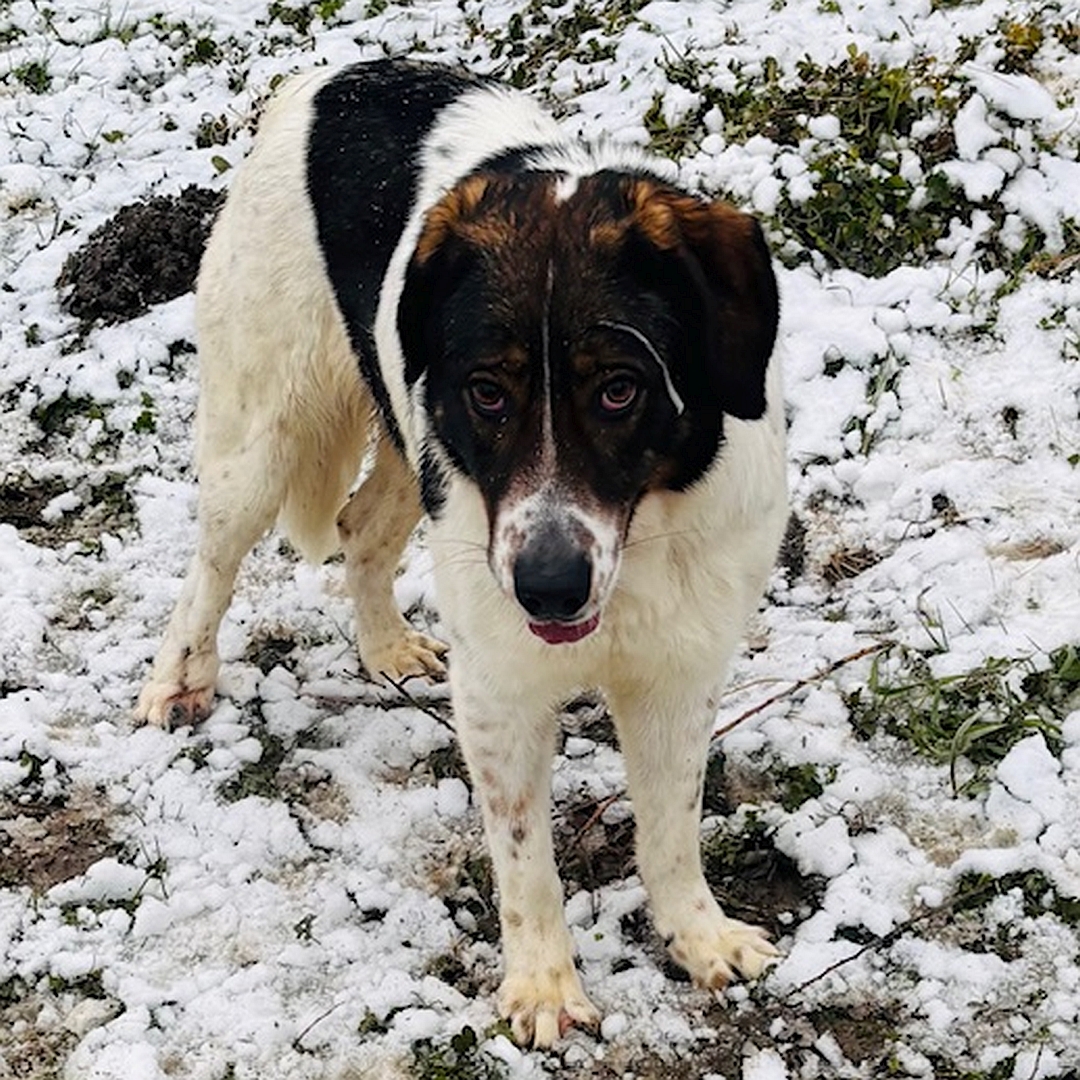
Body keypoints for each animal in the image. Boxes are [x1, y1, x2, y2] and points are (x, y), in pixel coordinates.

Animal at [139, 59, 790, 1045]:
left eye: (620, 389)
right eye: (489, 390)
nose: (548, 590)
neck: (641, 540)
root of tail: (338, 71)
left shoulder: (682, 668)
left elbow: (672, 825)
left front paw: (697, 934)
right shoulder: (501, 689)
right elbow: (525, 855)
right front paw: (544, 986)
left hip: (421, 449)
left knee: (361, 527)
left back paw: (385, 648)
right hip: (266, 433)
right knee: (212, 561)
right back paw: (178, 678)